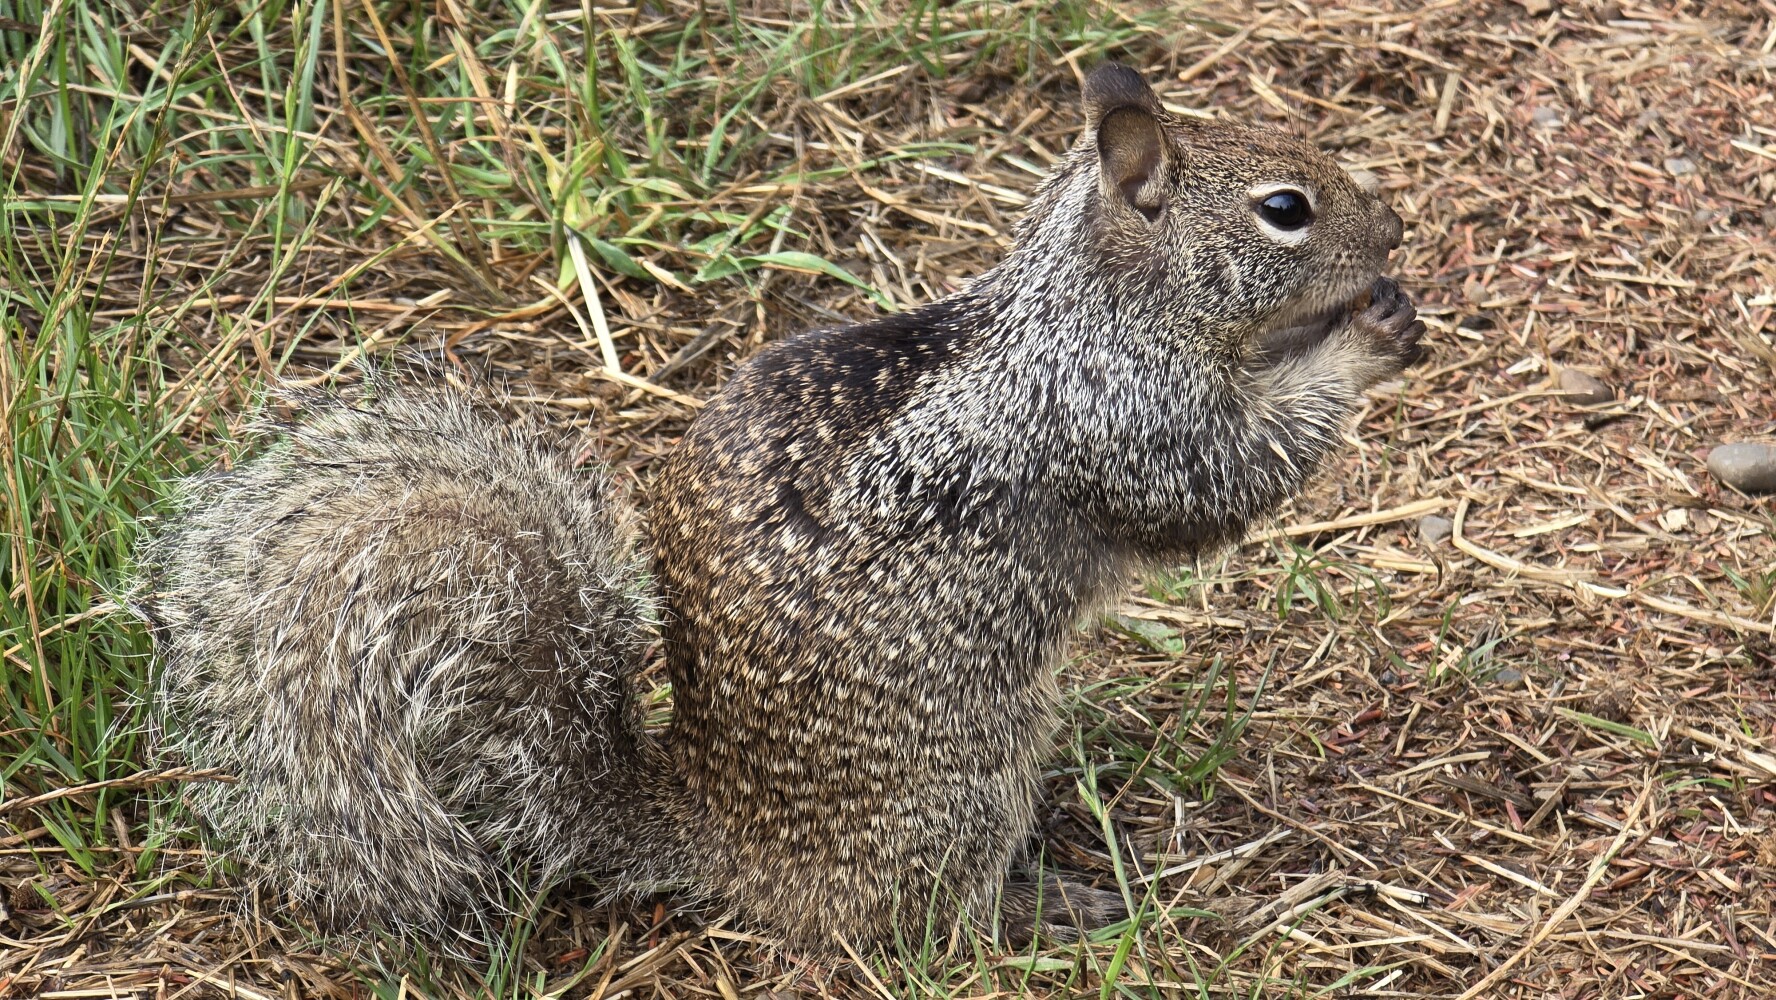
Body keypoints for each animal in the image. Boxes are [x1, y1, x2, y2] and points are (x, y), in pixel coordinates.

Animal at [134, 64, 1424, 949]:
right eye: (1287, 207)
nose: (1396, 230)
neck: (1089, 300)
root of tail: (725, 830)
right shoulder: (1122, 414)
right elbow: (1217, 484)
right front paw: (1363, 341)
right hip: (965, 777)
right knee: (915, 922)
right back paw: (1041, 907)